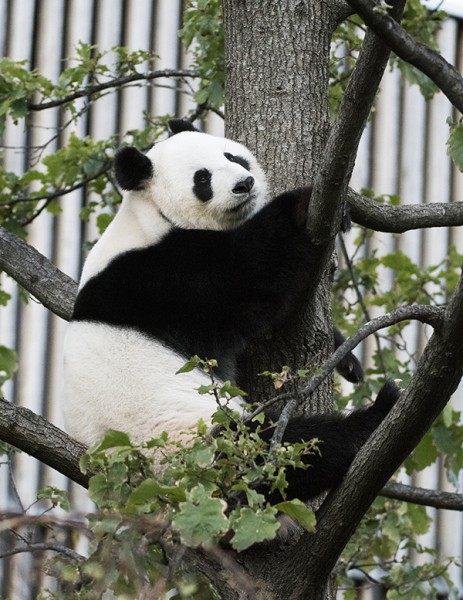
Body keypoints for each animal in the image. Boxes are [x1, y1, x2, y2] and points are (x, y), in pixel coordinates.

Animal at [63, 118, 400, 502]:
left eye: (232, 156)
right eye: (202, 179)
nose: (245, 184)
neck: (150, 215)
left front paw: (347, 359)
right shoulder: (162, 278)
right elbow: (253, 274)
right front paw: (302, 204)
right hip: (199, 446)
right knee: (285, 449)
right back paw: (374, 417)